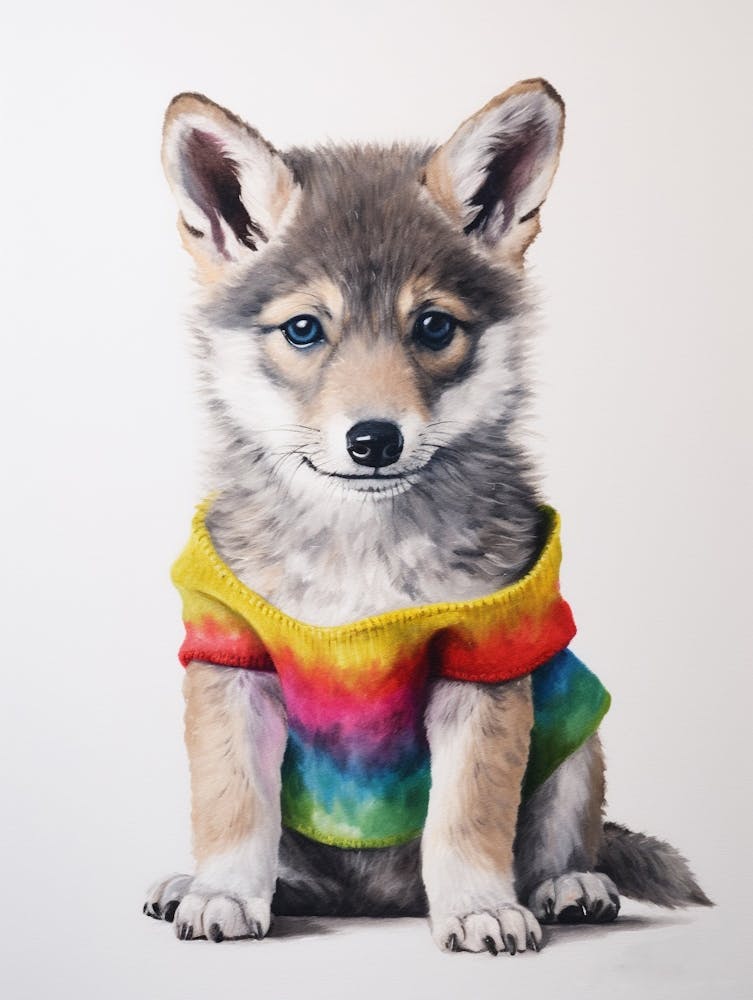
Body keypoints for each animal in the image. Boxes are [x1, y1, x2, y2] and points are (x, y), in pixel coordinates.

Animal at [144, 79, 710, 954]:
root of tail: (378, 901)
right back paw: (211, 885)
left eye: (433, 327)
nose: (374, 440)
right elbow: (233, 806)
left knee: (564, 837)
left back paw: (570, 886)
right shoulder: (230, 656)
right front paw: (223, 892)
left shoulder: (484, 662)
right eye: (304, 329)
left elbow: (467, 817)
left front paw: (478, 906)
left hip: (575, 734)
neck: (360, 552)